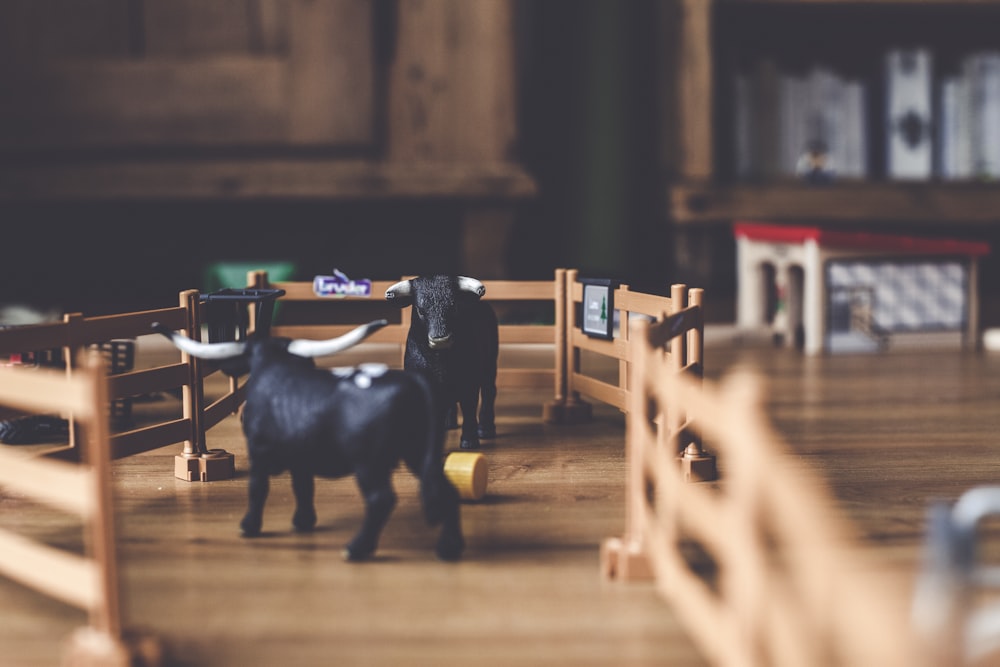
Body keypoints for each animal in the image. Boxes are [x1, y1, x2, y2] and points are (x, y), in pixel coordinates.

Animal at [152, 320, 464, 560]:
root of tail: (413, 382)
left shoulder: (259, 451)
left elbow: (258, 489)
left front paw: (250, 526)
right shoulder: (300, 454)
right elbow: (303, 487)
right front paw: (303, 522)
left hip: (369, 464)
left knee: (380, 500)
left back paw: (357, 549)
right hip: (417, 454)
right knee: (446, 491)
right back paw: (449, 548)